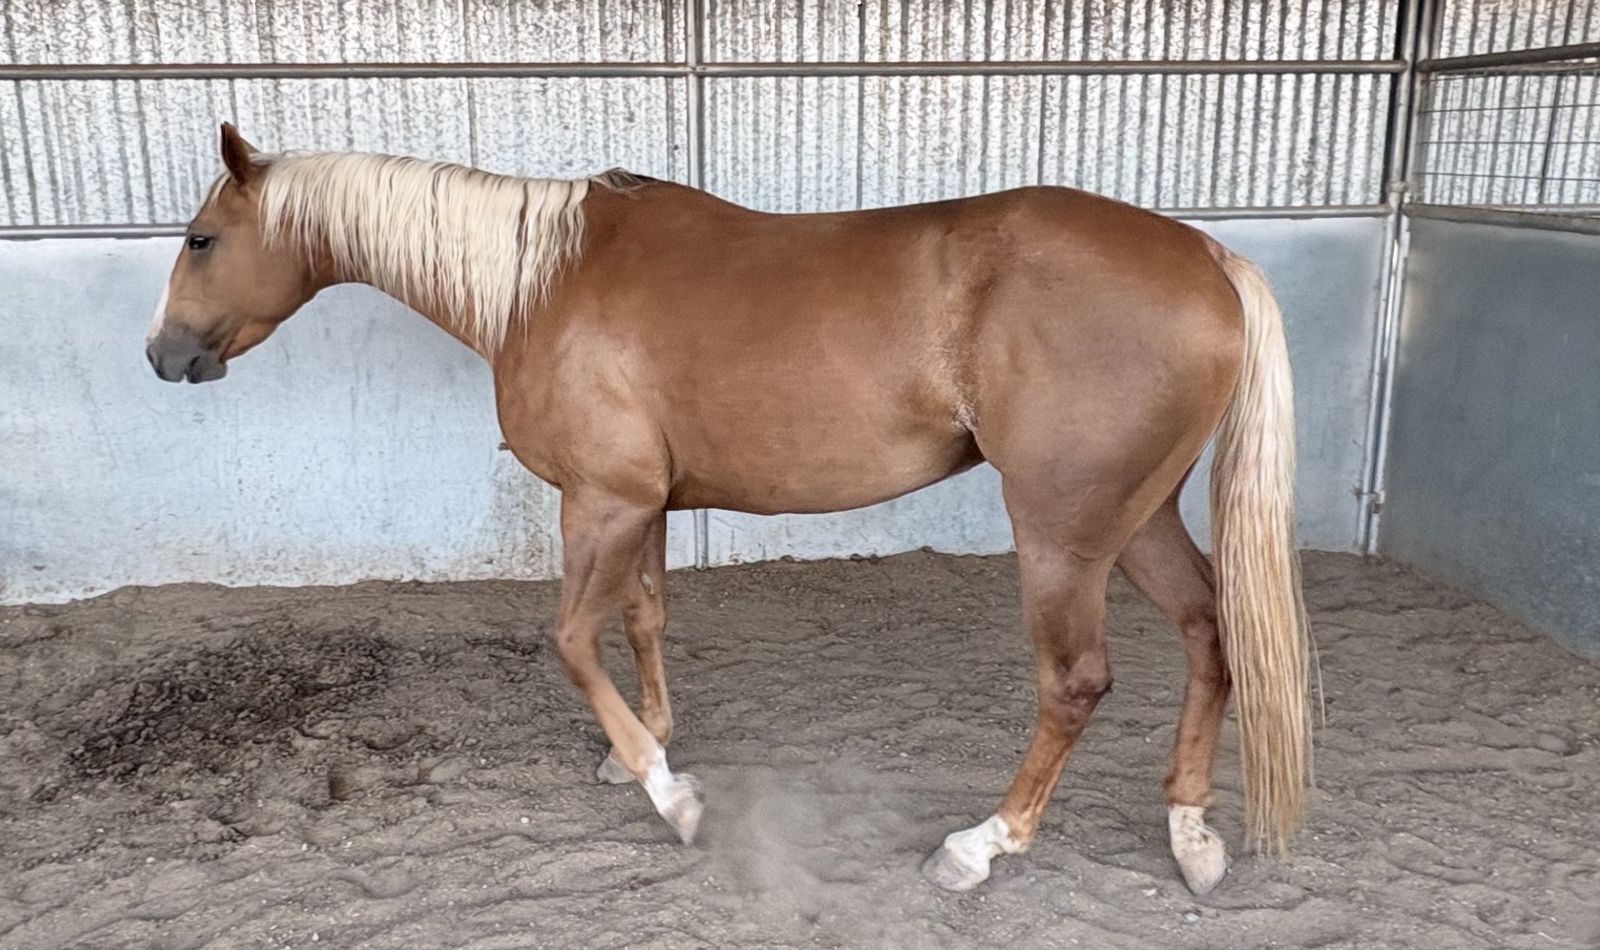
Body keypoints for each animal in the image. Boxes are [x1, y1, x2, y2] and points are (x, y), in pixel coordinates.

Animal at [145, 123, 1310, 895]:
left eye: (200, 238)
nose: (163, 356)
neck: (542, 282)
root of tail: (1209, 259)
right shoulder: (644, 504)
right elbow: (645, 617)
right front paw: (648, 742)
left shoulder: (600, 502)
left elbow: (572, 638)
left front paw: (672, 794)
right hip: (1136, 516)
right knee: (1209, 630)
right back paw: (1190, 831)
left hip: (1064, 534)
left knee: (1074, 682)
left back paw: (982, 845)